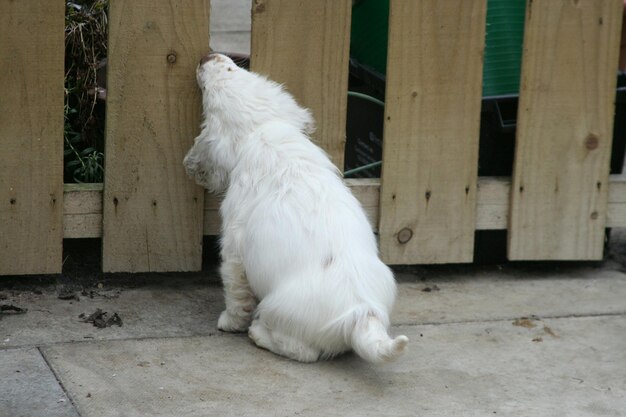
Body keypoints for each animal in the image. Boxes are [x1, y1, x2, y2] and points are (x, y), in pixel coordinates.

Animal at [183, 52, 408, 362]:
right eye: (233, 68)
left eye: (207, 98)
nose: (208, 56)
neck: (263, 132)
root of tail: (363, 314)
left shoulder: (234, 250)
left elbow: (236, 292)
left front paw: (229, 322)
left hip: (278, 312)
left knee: (302, 350)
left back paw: (259, 334)